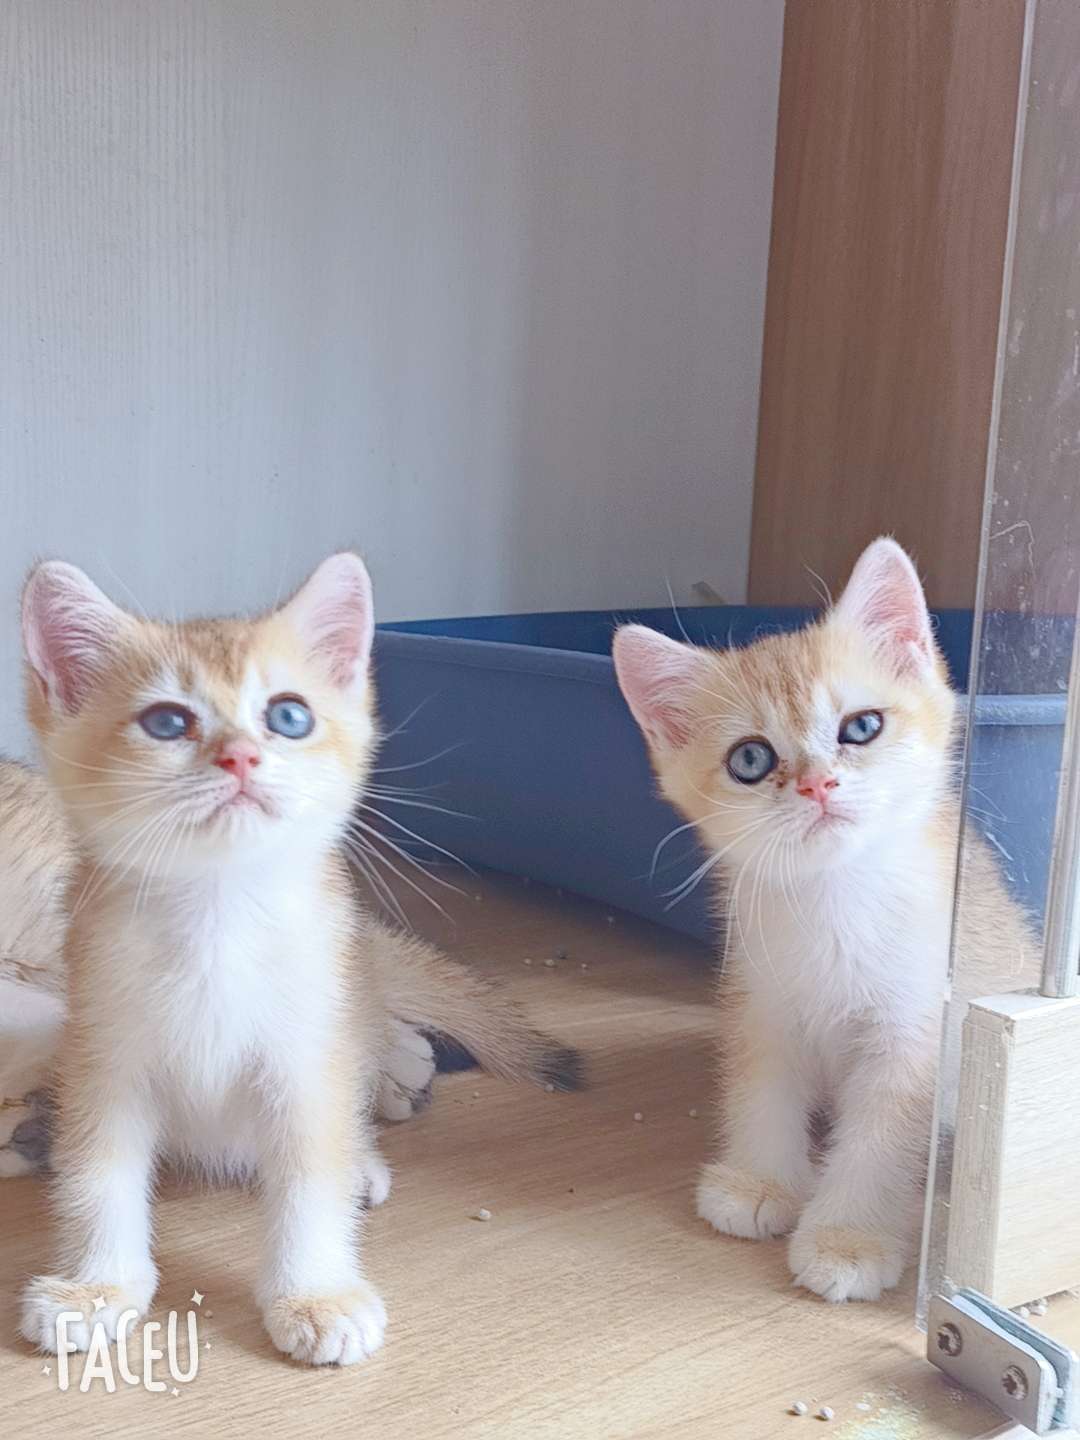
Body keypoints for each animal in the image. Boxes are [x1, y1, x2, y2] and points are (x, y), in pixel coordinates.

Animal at [16, 553, 579, 1365]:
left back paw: (364, 1162)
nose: (242, 755)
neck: (217, 919)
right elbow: (98, 1179)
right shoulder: (104, 1057)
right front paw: (97, 1288)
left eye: (289, 716)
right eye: (166, 722)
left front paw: (315, 1294)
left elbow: (312, 1176)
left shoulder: (308, 1057)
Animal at [613, 537, 1033, 1302]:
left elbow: (882, 1136)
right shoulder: (761, 998)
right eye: (751, 759)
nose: (817, 783)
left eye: (861, 727)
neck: (836, 902)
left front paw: (849, 1237)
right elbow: (761, 1089)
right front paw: (759, 1180)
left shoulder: (913, 1033)